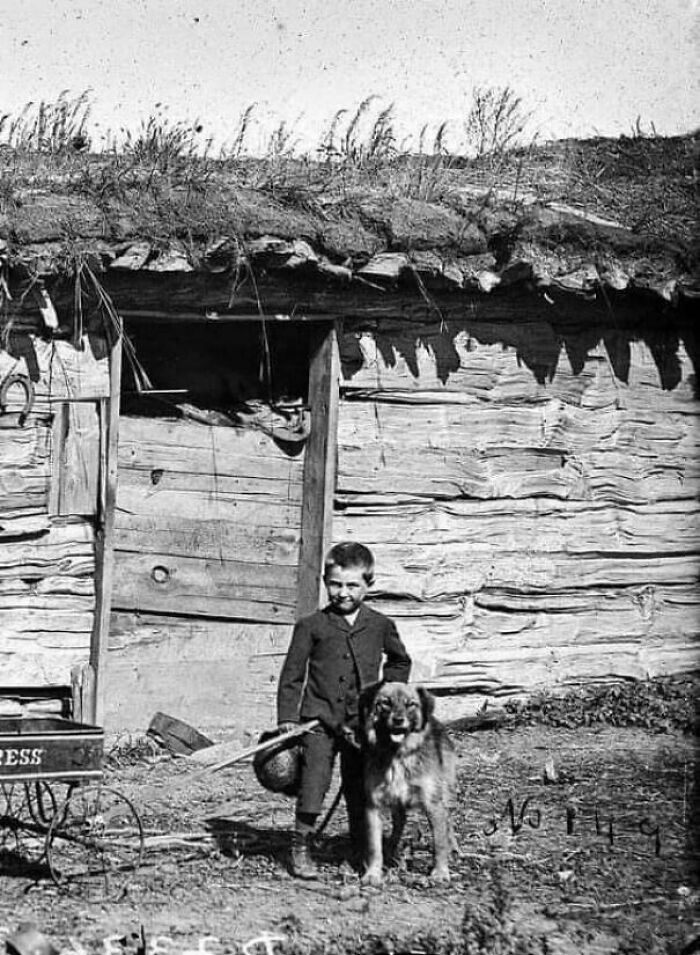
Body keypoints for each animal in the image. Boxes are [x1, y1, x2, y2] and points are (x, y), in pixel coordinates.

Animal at [358, 684, 456, 884]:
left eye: (411, 704)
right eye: (385, 703)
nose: (398, 720)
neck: (397, 754)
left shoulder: (433, 804)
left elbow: (439, 842)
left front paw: (440, 871)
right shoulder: (373, 805)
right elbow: (374, 846)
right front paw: (373, 873)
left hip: (445, 793)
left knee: (449, 823)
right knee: (399, 824)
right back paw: (391, 849)